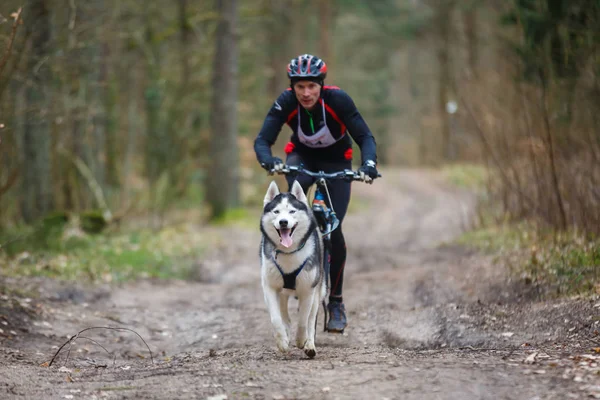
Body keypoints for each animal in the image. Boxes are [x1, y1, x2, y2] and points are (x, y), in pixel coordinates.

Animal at [258, 180, 326, 358]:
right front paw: (282, 342)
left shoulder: (308, 290)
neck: (288, 253)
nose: (283, 222)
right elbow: (276, 319)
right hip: (282, 293)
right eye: (276, 211)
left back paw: (310, 345)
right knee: (285, 317)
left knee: (311, 320)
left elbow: (303, 319)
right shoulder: (269, 287)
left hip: (318, 290)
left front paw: (301, 340)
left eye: (292, 211)